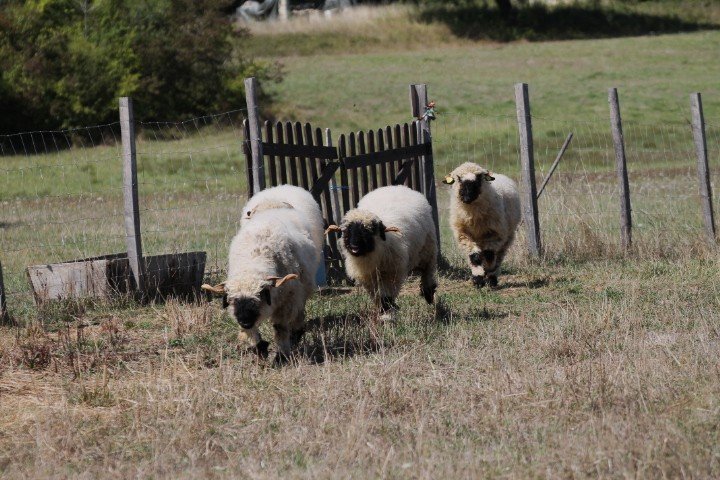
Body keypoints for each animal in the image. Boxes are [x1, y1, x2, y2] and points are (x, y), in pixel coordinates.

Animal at [203, 206, 322, 363]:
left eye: (260, 294)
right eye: (232, 300)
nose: (245, 321)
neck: (254, 258)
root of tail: (276, 208)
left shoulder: (287, 302)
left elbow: (280, 328)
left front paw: (281, 356)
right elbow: (251, 332)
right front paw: (260, 347)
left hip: (301, 292)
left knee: (299, 315)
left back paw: (296, 335)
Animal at [326, 185, 438, 317]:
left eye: (367, 231)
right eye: (347, 230)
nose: (354, 246)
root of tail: (397, 187)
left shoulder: (391, 272)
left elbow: (386, 295)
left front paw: (387, 311)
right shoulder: (368, 278)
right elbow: (377, 294)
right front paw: (382, 309)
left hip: (427, 249)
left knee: (427, 271)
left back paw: (428, 293)